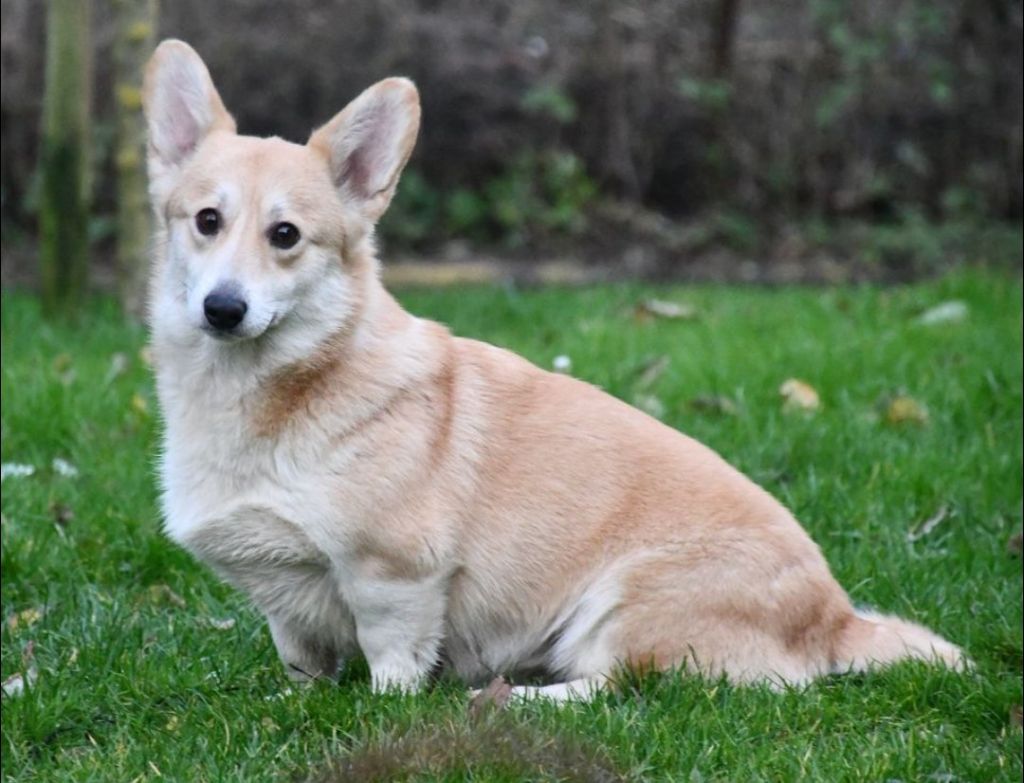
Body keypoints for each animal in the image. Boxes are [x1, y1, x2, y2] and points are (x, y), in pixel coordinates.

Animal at [140, 39, 962, 700]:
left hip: (624, 603)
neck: (272, 388)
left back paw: (514, 699)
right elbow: (302, 660)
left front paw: (382, 709)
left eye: (285, 235)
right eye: (207, 221)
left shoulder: (396, 576)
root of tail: (835, 620)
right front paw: (295, 700)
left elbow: (391, 662)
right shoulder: (284, 599)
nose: (223, 308)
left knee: (624, 690)